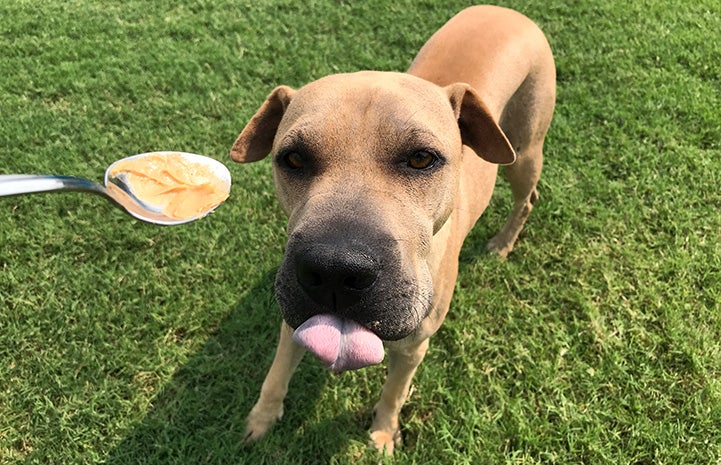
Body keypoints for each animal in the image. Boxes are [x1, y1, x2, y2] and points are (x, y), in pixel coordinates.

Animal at [228, 3, 556, 454]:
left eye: (421, 158)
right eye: (292, 158)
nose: (334, 270)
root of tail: (506, 11)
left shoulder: (414, 347)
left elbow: (394, 393)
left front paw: (383, 432)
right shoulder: (293, 317)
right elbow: (276, 372)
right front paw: (261, 418)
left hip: (524, 153)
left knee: (527, 198)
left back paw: (504, 244)